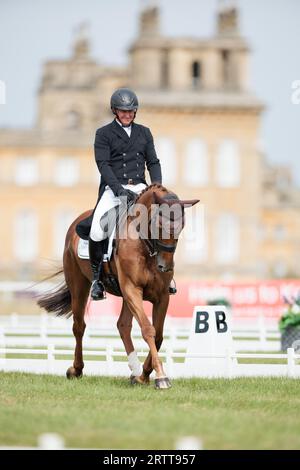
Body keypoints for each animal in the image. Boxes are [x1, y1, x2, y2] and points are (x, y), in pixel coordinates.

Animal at [38, 184, 199, 390]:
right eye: (159, 225)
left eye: (182, 227)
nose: (165, 266)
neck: (145, 246)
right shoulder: (132, 289)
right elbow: (148, 330)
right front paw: (161, 376)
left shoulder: (161, 295)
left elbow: (158, 335)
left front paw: (145, 374)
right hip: (80, 286)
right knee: (79, 326)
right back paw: (76, 369)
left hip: (124, 295)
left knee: (123, 325)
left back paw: (136, 370)